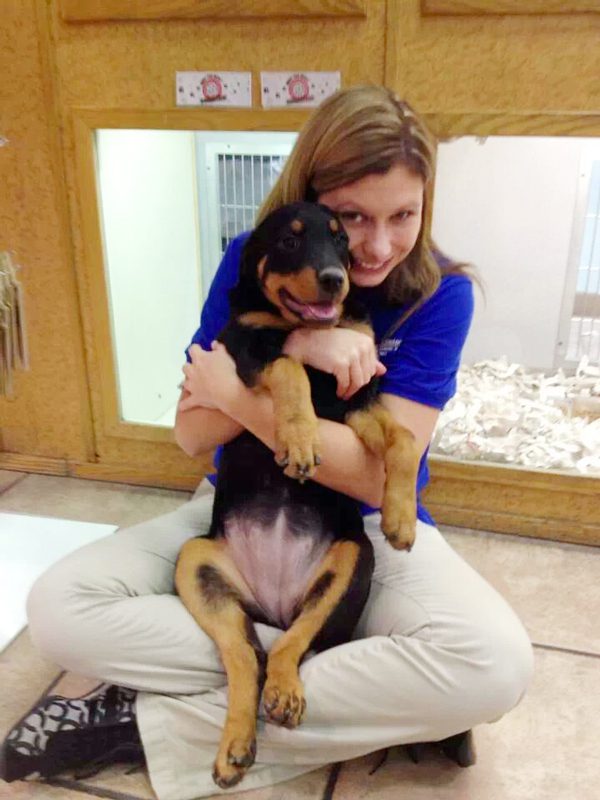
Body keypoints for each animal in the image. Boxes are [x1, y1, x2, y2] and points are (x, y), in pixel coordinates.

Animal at [173, 200, 418, 788]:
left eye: (342, 240)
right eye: (288, 241)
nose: (335, 280)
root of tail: (275, 601)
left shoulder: (358, 397)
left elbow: (403, 437)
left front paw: (401, 518)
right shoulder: (246, 348)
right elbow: (289, 366)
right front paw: (301, 439)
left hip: (352, 559)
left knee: (289, 645)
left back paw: (282, 695)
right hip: (196, 560)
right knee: (246, 655)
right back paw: (236, 746)